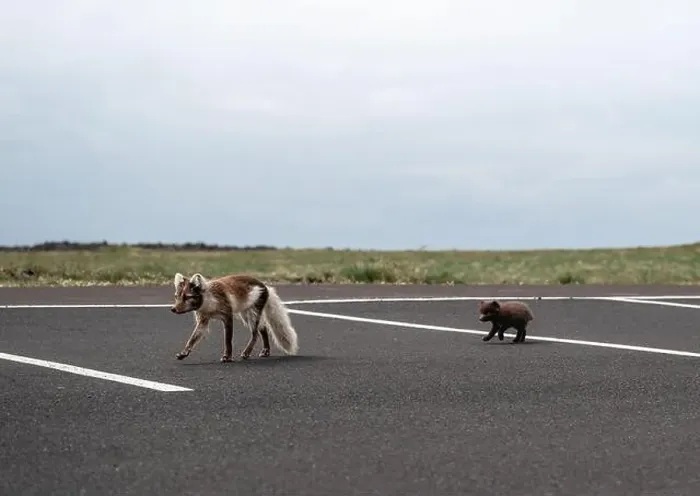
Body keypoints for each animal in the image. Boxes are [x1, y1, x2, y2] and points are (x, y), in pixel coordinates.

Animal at [170, 272, 299, 362]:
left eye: (187, 297)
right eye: (177, 297)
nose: (173, 309)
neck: (209, 304)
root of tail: (265, 286)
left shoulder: (227, 316)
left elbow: (228, 340)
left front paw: (227, 357)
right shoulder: (203, 320)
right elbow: (192, 339)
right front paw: (184, 353)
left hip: (252, 315)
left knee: (256, 334)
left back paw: (247, 353)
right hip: (246, 315)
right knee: (263, 329)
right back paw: (265, 351)